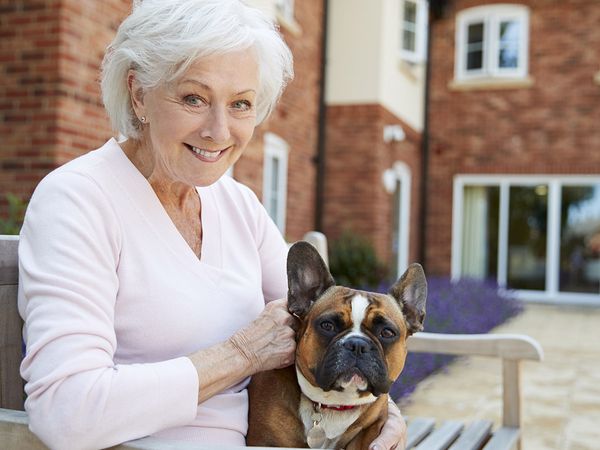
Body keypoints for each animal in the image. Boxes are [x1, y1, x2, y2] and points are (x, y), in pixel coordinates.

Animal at [245, 241, 426, 448]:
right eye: (327, 325)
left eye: (387, 332)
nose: (357, 345)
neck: (334, 404)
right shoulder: (264, 439)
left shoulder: (372, 427)